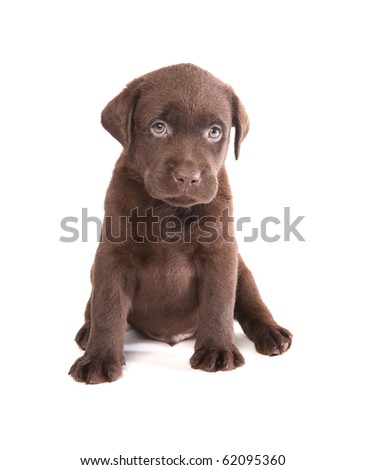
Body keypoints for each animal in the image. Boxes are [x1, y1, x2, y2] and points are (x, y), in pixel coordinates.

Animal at [68, 63, 292, 386]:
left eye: (215, 132)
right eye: (159, 127)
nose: (188, 177)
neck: (169, 209)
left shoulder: (220, 253)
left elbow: (218, 303)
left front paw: (217, 351)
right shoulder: (113, 255)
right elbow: (107, 307)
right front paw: (98, 359)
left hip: (242, 271)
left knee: (252, 303)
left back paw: (271, 333)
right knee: (94, 307)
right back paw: (88, 333)